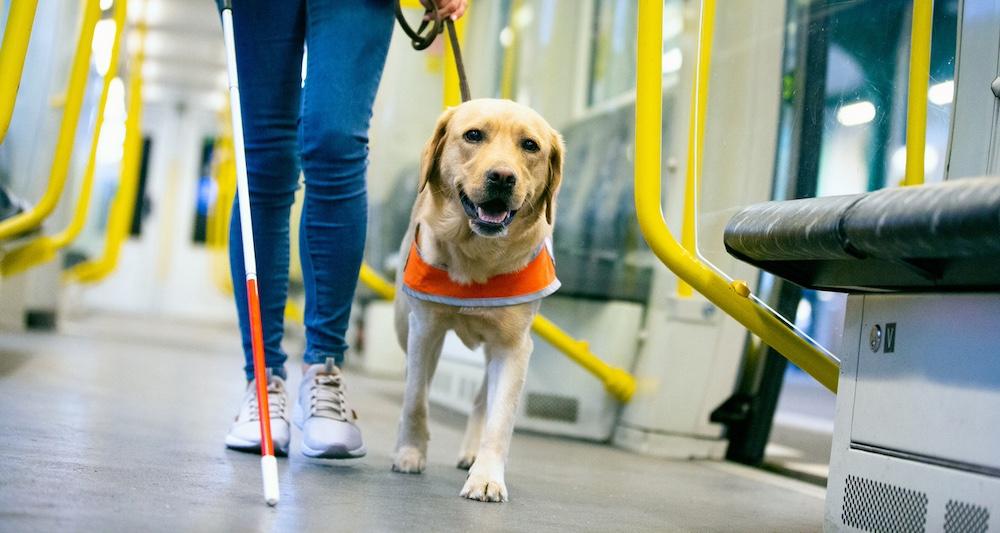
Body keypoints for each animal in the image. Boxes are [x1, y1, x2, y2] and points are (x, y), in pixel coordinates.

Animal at [390, 97, 564, 500]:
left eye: (530, 145)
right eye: (473, 135)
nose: (502, 176)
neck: (477, 255)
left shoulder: (514, 347)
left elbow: (500, 419)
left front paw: (486, 477)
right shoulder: (424, 331)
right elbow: (415, 399)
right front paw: (410, 453)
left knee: (482, 398)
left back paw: (472, 453)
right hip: (405, 327)